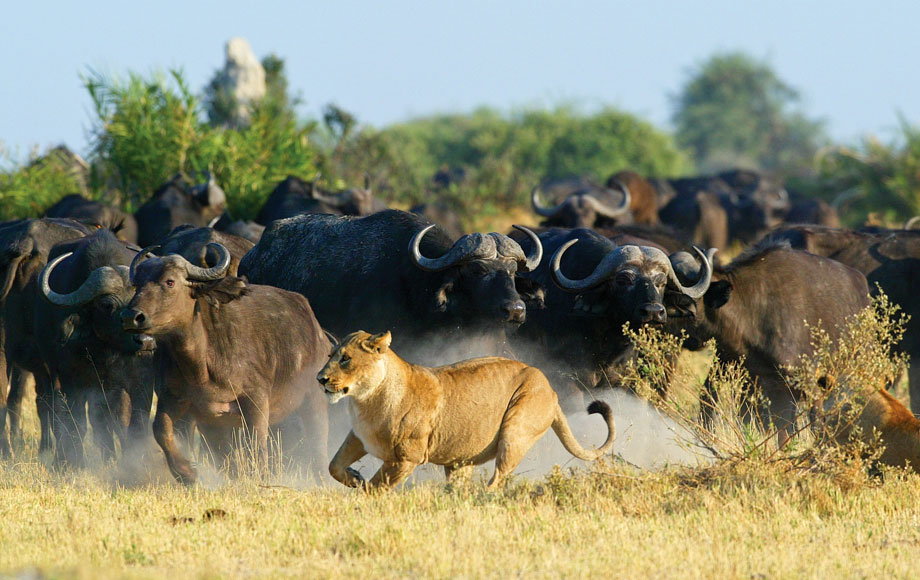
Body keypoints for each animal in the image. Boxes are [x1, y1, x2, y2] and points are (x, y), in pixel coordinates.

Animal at [120, 242, 330, 482]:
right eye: (137, 284)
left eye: (170, 281)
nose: (131, 316)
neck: (200, 366)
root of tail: (319, 333)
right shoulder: (174, 398)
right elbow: (160, 429)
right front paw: (186, 472)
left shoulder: (256, 400)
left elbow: (256, 443)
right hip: (215, 426)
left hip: (314, 398)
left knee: (318, 440)